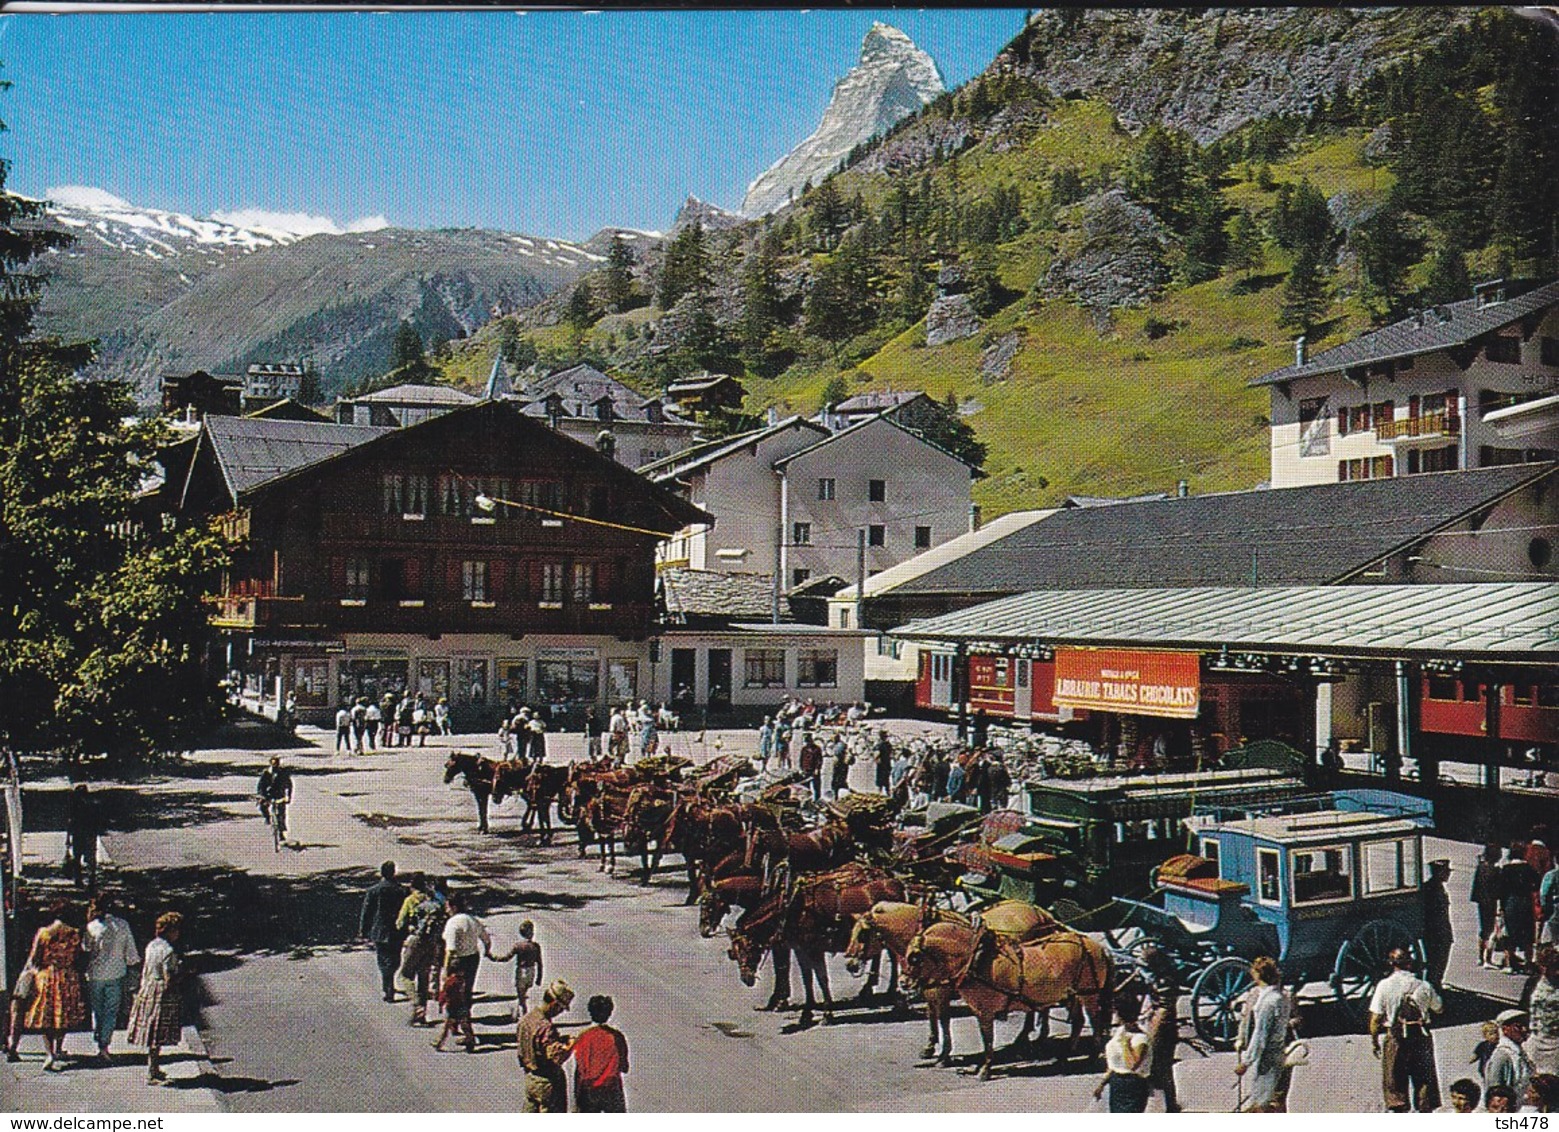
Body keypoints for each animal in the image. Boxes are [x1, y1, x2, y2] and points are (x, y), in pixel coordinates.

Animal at [904, 923, 1110, 1078]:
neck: (976, 959)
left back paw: (1092, 1057)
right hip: (1072, 995)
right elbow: (982, 1037)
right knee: (1078, 1022)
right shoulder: (978, 1011)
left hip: (1088, 994)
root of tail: (1097, 947)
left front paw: (985, 1070)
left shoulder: (985, 1011)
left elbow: (988, 1039)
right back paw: (1064, 1057)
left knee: (1095, 1021)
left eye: (914, 957)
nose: (903, 983)